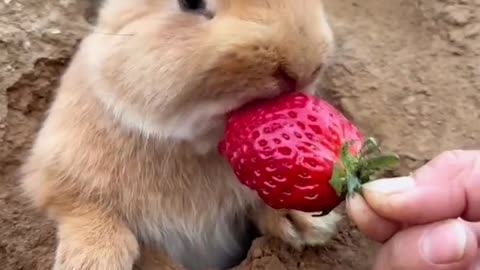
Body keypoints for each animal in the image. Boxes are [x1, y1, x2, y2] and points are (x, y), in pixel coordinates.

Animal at [19, 0, 342, 270]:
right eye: (191, 3)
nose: (305, 67)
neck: (194, 144)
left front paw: (304, 223)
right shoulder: (55, 172)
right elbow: (80, 207)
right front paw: (94, 260)